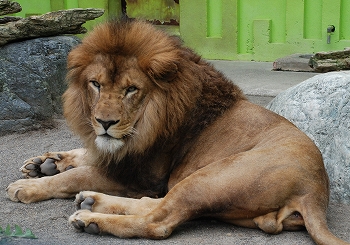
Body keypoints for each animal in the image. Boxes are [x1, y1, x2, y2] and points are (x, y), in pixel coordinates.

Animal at [6, 19, 350, 245]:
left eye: (131, 89)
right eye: (96, 84)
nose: (104, 122)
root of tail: (315, 191)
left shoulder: (143, 175)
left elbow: (76, 176)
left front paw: (29, 186)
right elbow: (88, 155)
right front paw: (44, 162)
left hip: (208, 178)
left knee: (157, 222)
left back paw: (90, 219)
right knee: (156, 205)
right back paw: (91, 201)